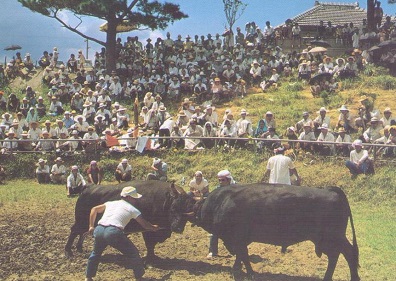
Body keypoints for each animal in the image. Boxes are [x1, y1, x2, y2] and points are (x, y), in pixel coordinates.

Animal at [64, 180, 196, 260]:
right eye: (173, 208)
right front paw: (150, 259)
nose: (178, 228)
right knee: (74, 231)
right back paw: (68, 251)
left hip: (86, 223)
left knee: (82, 233)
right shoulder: (147, 230)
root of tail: (88, 187)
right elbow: (150, 244)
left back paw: (79, 248)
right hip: (81, 221)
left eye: (188, 213)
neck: (164, 200)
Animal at [190, 184, 360, 280]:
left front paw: (249, 272)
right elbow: (241, 255)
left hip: (331, 238)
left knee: (343, 254)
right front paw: (238, 269)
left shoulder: (237, 238)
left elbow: (243, 255)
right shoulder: (240, 240)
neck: (221, 202)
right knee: (343, 254)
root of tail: (330, 190)